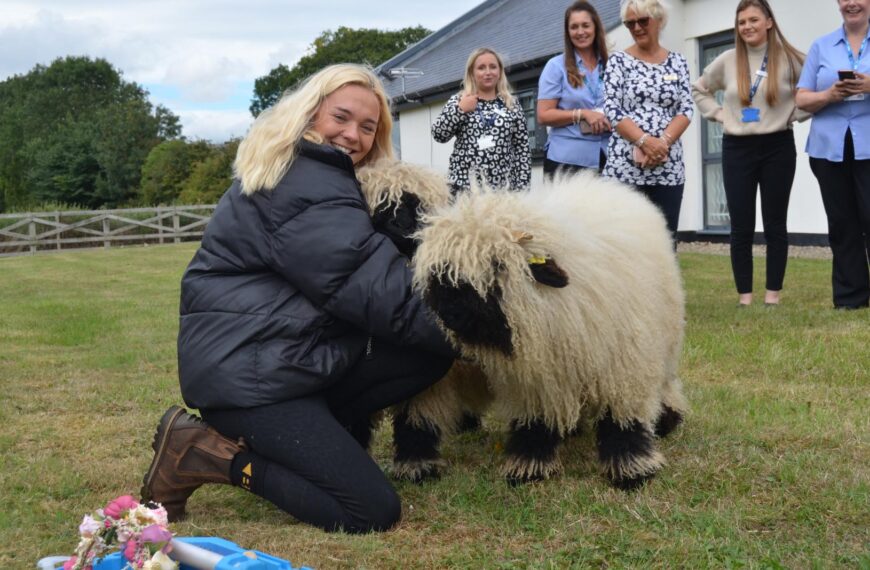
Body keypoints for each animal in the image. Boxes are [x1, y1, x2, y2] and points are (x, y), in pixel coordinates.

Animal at [410, 171, 688, 489]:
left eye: (498, 265)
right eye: (440, 271)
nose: (450, 312)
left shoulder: (623, 366)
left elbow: (623, 417)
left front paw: (632, 469)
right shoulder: (539, 376)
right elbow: (536, 419)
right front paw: (530, 465)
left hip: (664, 336)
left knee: (666, 382)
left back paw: (668, 419)